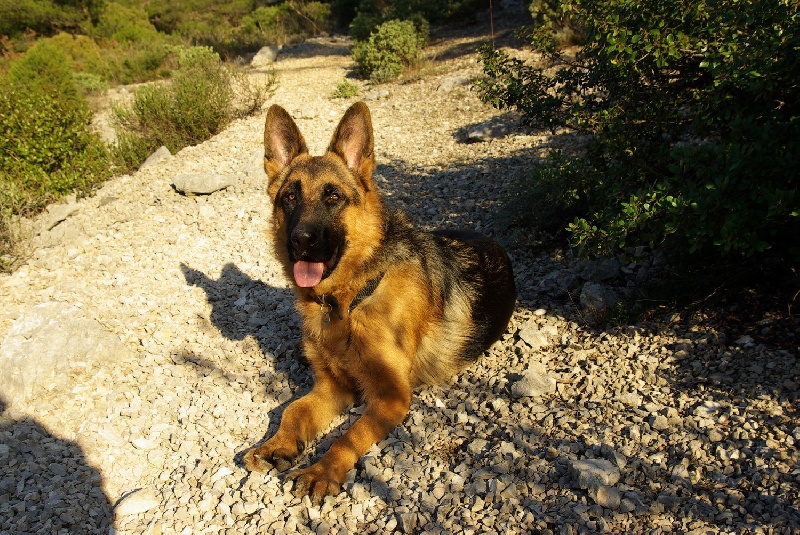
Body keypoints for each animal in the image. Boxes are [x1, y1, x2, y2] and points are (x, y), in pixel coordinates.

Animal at [244, 101, 520, 502]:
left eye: (333, 196)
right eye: (289, 197)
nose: (301, 241)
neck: (349, 302)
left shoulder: (390, 397)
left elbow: (347, 436)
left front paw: (323, 470)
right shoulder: (332, 386)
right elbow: (293, 411)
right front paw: (276, 445)